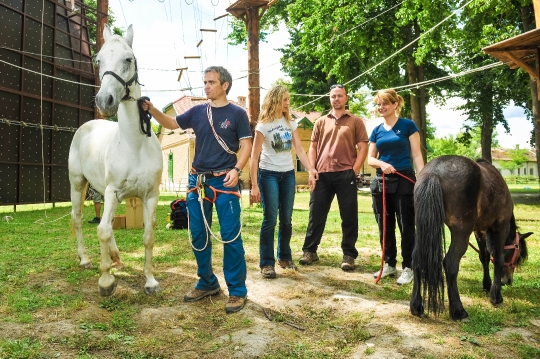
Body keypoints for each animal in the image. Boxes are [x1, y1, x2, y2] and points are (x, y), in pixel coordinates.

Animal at [67, 23, 161, 296]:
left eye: (128, 59)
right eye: (98, 60)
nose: (104, 100)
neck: (134, 146)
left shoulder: (150, 196)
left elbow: (147, 236)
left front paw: (150, 281)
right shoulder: (111, 192)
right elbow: (102, 230)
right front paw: (106, 280)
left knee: (107, 227)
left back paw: (116, 258)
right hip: (78, 184)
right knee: (79, 219)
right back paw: (86, 260)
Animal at [410, 156, 532, 322]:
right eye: (517, 255)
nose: (507, 281)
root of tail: (434, 173)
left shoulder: (479, 230)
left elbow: (484, 257)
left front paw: (487, 285)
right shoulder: (501, 227)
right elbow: (498, 258)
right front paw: (496, 297)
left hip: (424, 228)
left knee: (417, 259)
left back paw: (416, 307)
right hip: (461, 232)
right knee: (450, 263)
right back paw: (459, 311)